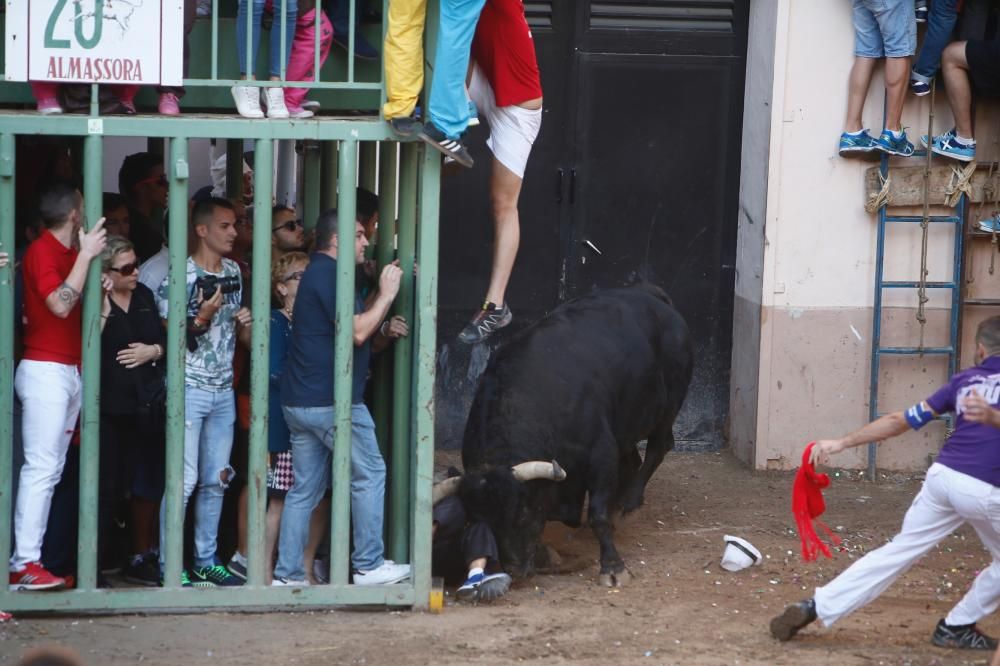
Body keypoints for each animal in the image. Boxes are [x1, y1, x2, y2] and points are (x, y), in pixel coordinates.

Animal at [450, 282, 692, 584]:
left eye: (522, 514)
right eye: (483, 522)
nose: (515, 570)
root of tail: (653, 296)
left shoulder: (600, 453)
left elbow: (597, 514)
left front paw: (613, 567)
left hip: (668, 406)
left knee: (659, 447)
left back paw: (629, 502)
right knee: (632, 460)